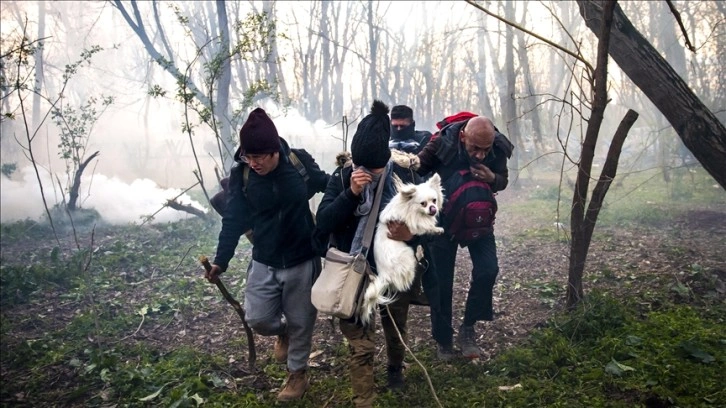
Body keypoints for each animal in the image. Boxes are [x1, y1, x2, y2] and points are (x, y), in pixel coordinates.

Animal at [358, 173, 444, 326]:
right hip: (408, 255)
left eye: (434, 200)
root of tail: (384, 275)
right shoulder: (412, 224)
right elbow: (424, 227)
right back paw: (420, 254)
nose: (433, 209)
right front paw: (436, 229)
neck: (409, 207)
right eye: (423, 204)